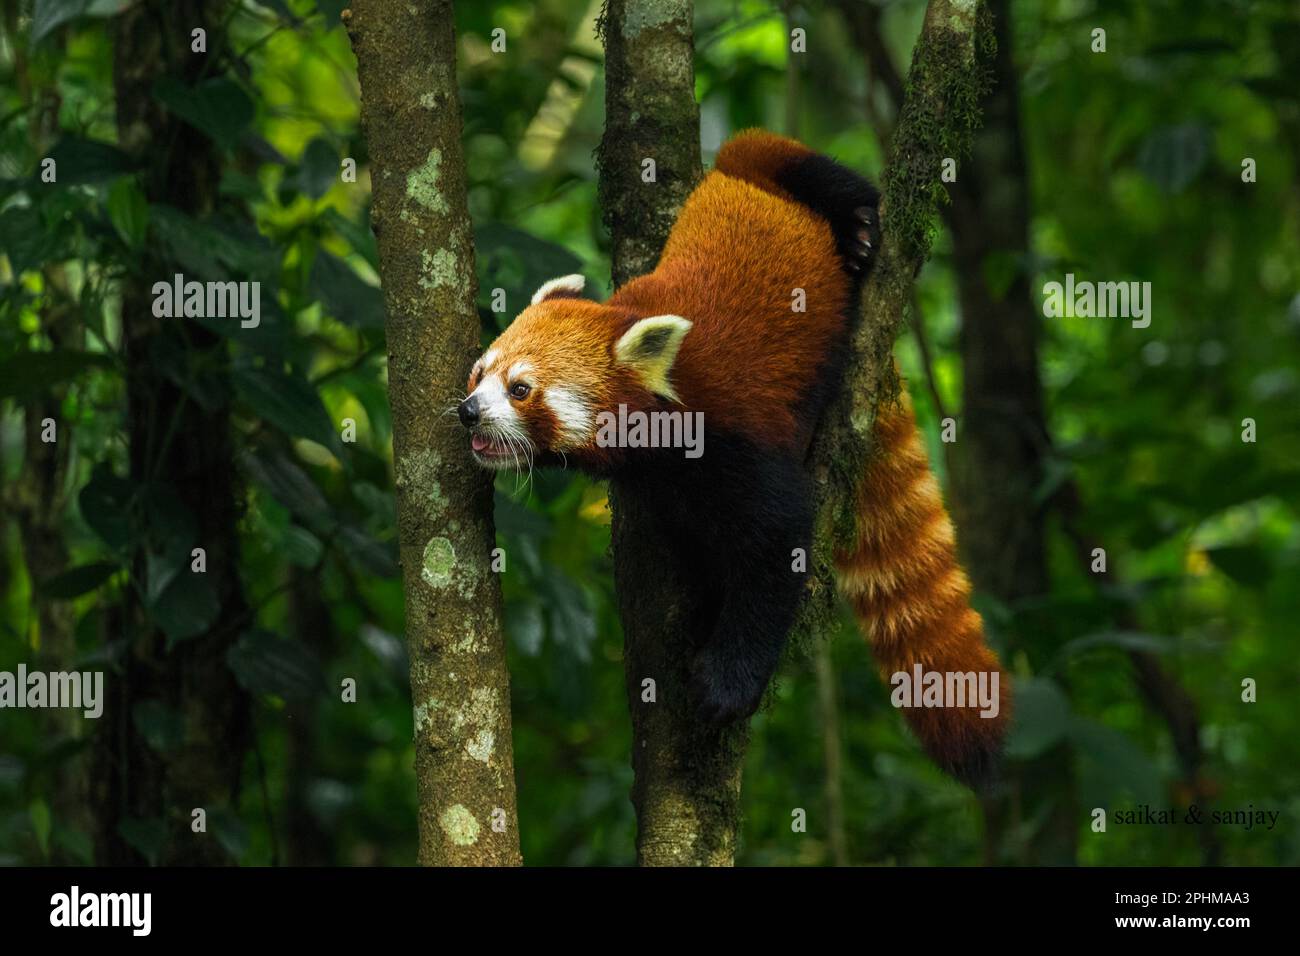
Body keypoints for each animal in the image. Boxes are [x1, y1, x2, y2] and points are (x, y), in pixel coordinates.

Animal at [462, 130, 1008, 790]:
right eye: (479, 373)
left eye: (520, 389)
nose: (467, 412)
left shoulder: (733, 437)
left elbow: (777, 545)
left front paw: (727, 683)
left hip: (764, 161)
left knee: (807, 168)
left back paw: (858, 230)